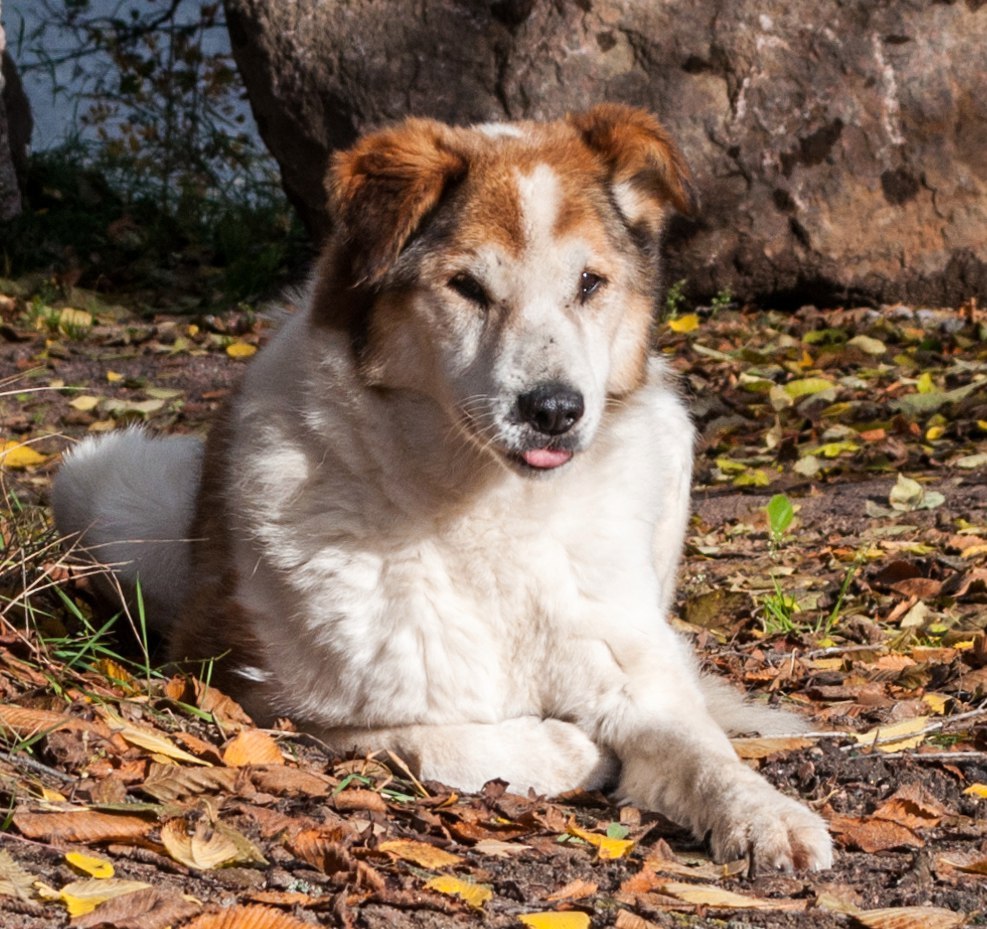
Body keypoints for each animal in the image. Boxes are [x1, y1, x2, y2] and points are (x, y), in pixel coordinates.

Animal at [54, 105, 832, 872]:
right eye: (468, 287)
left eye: (589, 283)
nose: (554, 409)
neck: (490, 510)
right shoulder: (263, 696)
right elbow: (431, 738)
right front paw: (567, 747)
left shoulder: (636, 676)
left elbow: (704, 748)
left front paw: (767, 813)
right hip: (102, 490)